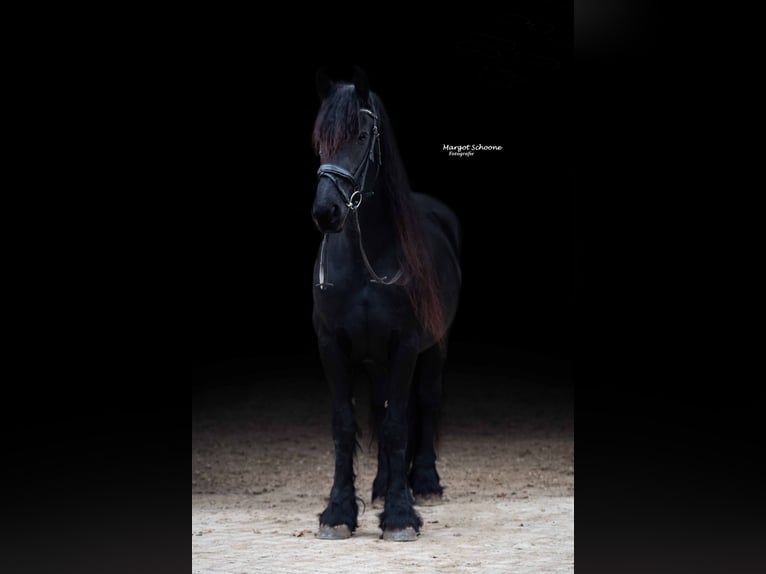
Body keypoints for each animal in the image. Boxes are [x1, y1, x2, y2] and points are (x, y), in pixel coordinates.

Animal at [310, 66, 461, 541]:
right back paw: (379, 487)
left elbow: (398, 428)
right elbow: (346, 425)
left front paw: (400, 515)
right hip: (376, 360)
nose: (326, 212)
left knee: (424, 403)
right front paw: (339, 512)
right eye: (320, 140)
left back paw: (423, 484)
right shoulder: (333, 346)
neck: (366, 260)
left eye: (360, 135)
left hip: (434, 347)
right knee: (381, 409)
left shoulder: (406, 344)